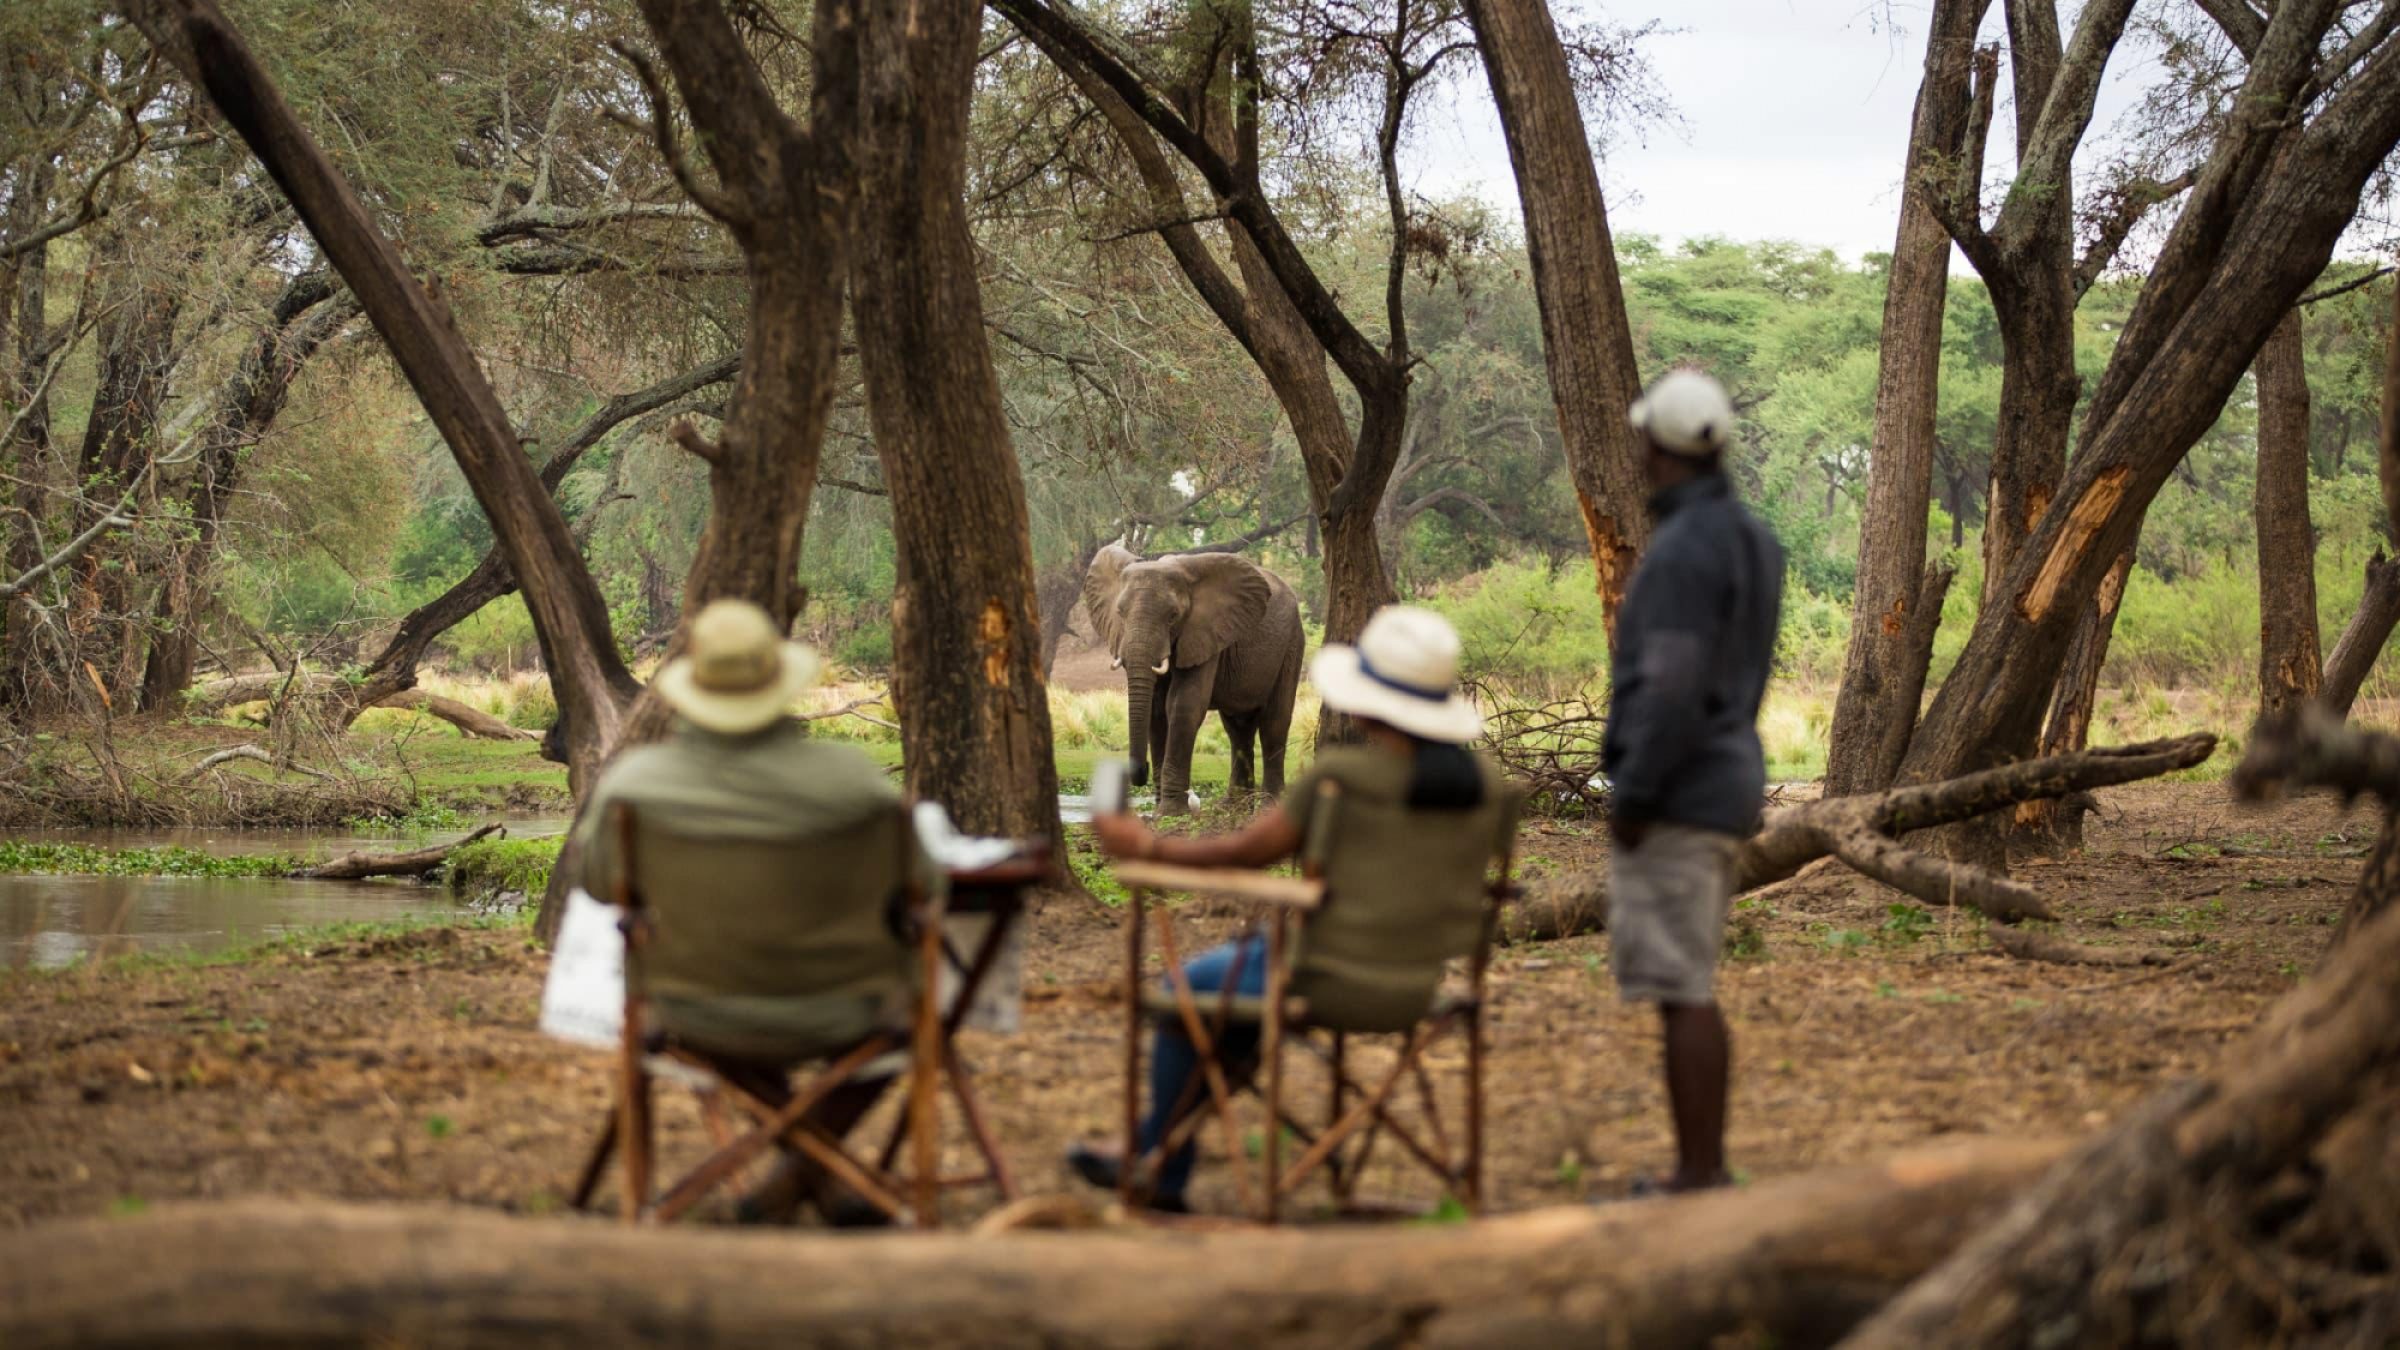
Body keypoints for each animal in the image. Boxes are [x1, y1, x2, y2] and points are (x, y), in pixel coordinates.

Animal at [1089, 540, 1315, 816]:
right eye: (1120, 613)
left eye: (1173, 616)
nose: (1140, 770)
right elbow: (1156, 710)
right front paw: (1159, 812)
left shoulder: (1206, 632)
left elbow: (1182, 704)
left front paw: (1171, 812)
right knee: (1238, 729)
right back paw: (1233, 809)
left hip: (1292, 643)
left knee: (1274, 723)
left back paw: (1267, 809)